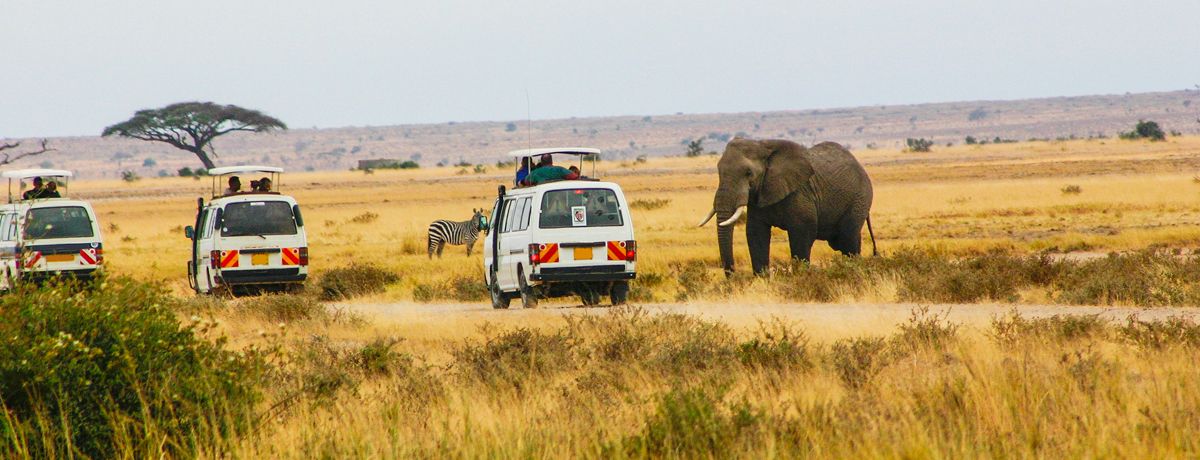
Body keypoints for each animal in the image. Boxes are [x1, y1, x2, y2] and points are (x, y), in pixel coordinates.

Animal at [700, 138, 878, 276]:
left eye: (748, 173)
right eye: (718, 171)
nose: (732, 276)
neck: (763, 146)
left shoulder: (800, 192)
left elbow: (802, 234)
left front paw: (801, 277)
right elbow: (755, 233)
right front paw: (762, 280)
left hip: (860, 198)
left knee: (848, 239)